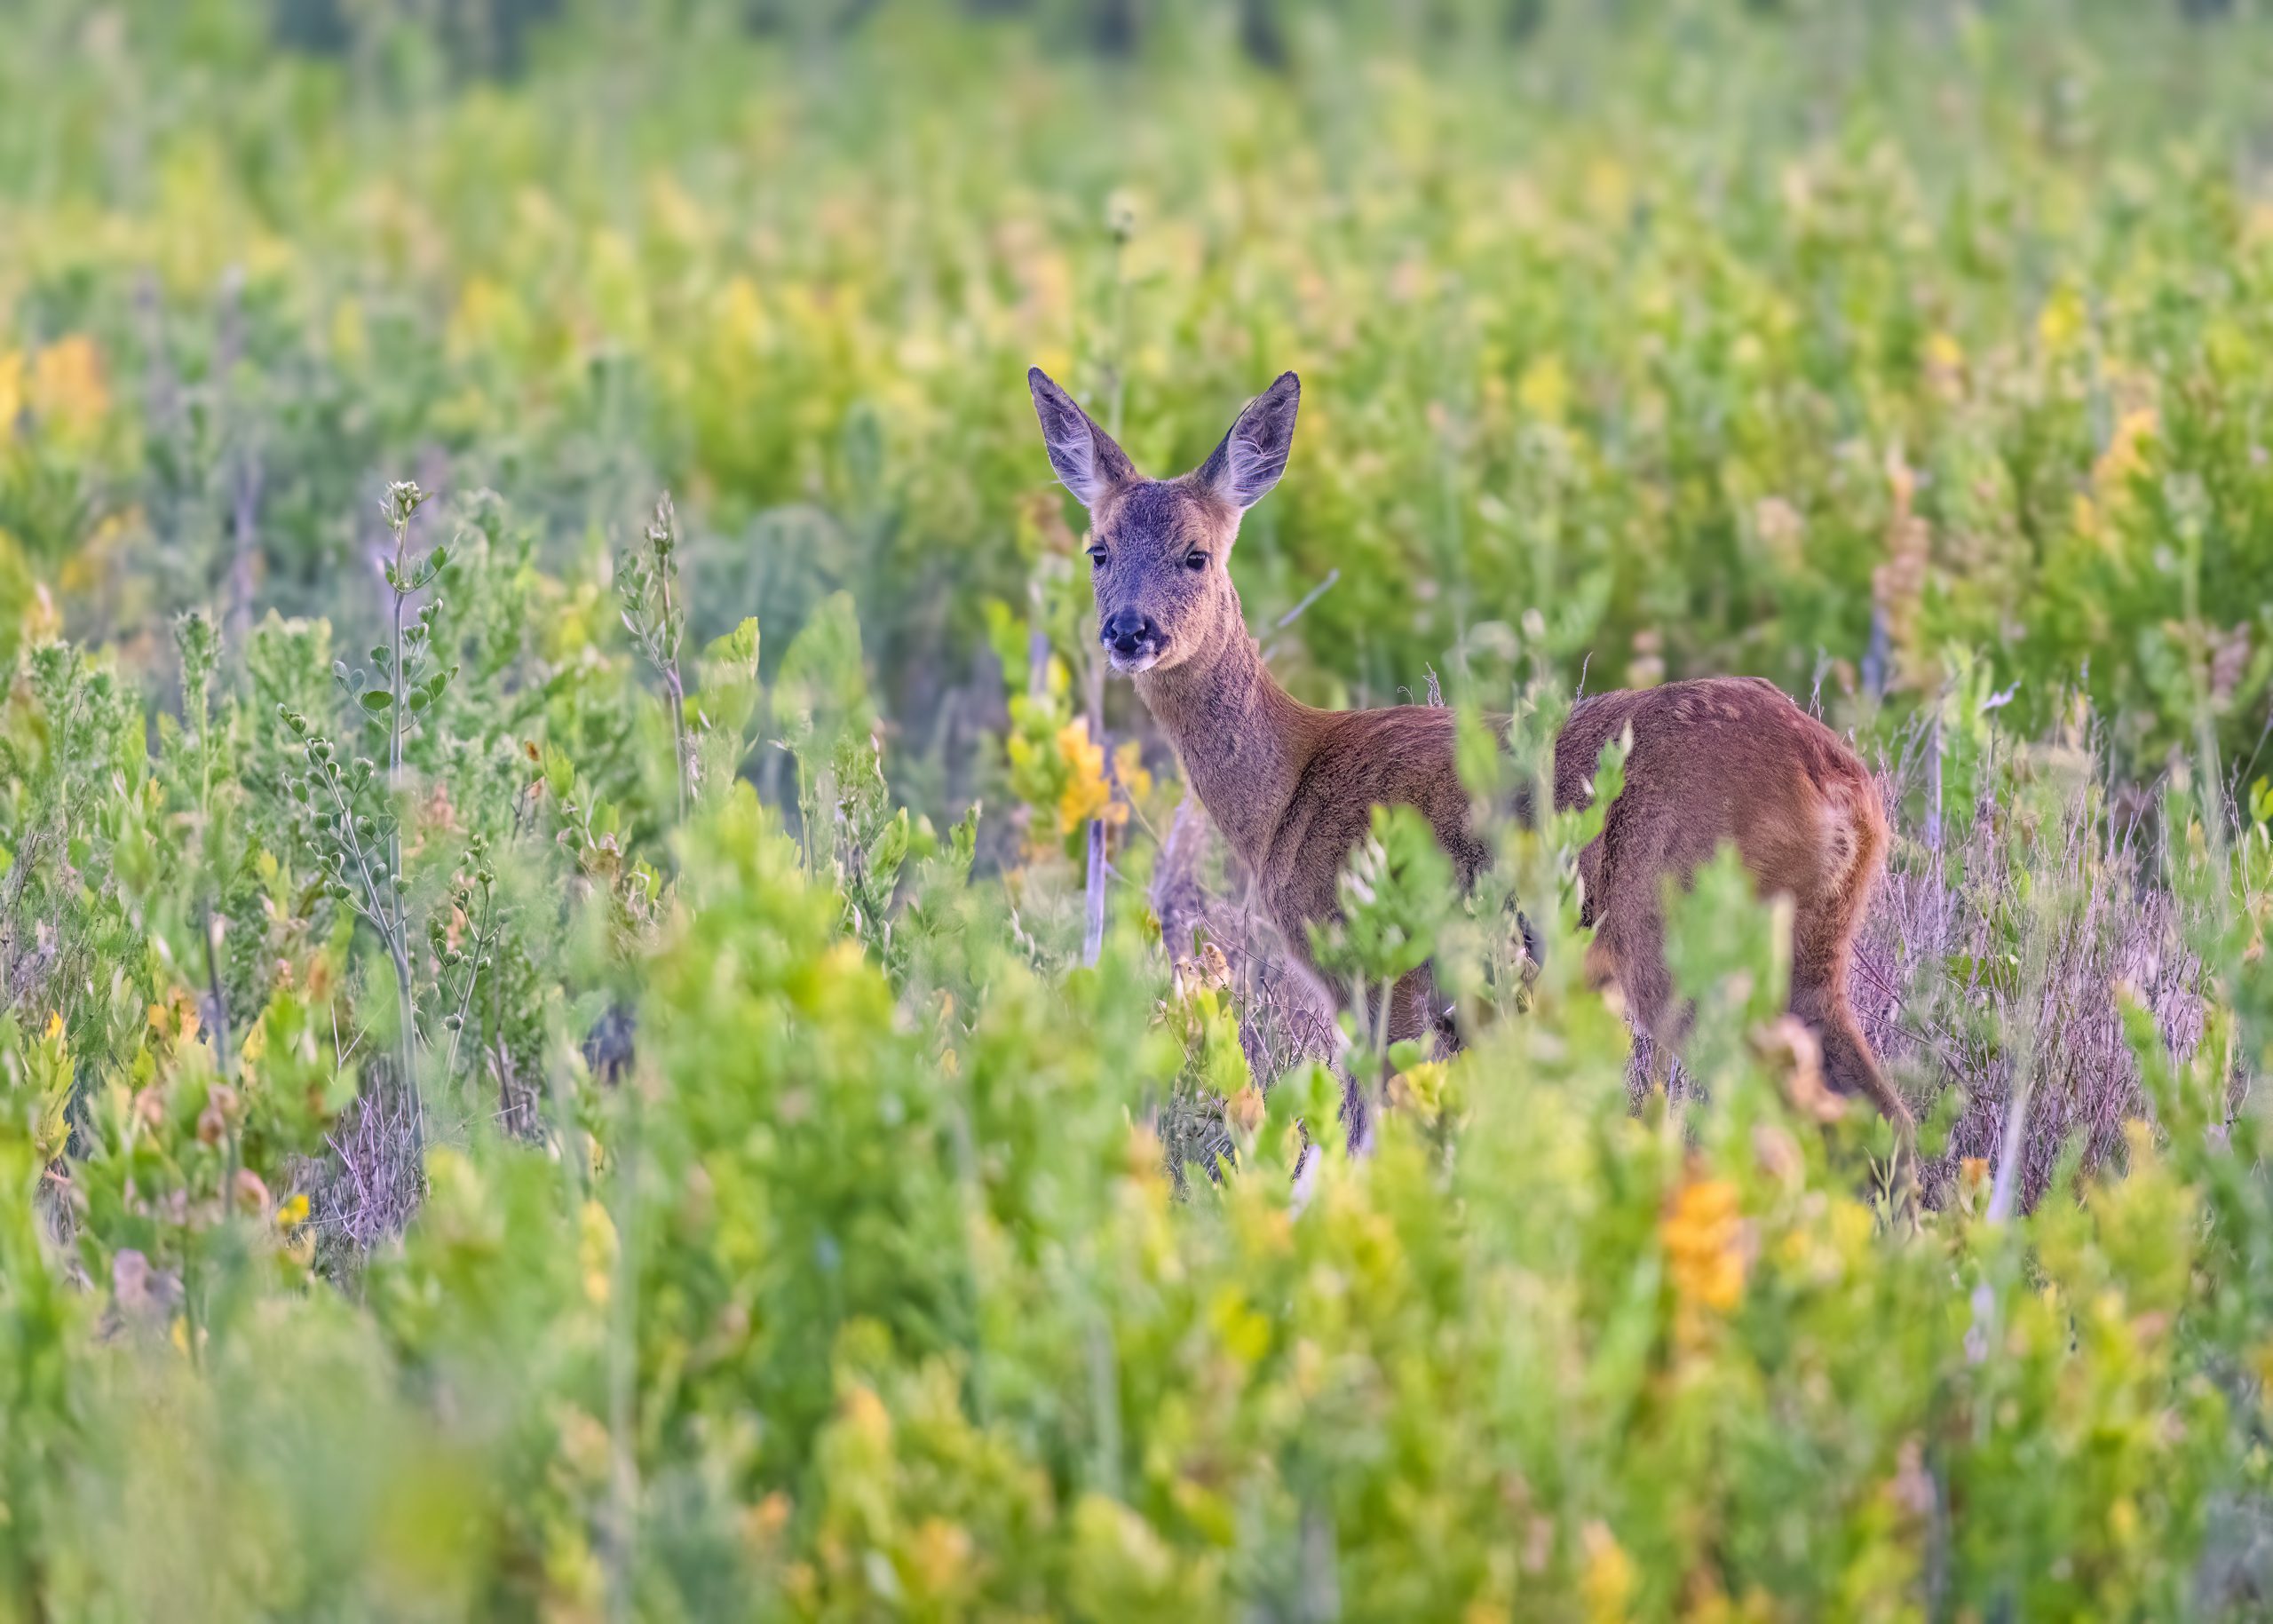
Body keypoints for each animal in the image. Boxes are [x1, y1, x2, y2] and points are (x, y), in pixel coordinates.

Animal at [1026, 366, 1916, 1144]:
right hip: (1807, 950)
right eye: (1098, 551)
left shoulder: (1385, 974)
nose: (1129, 631)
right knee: (1881, 1118)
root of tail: (1843, 782)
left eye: (1196, 554)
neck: (1287, 788)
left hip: (1687, 931)